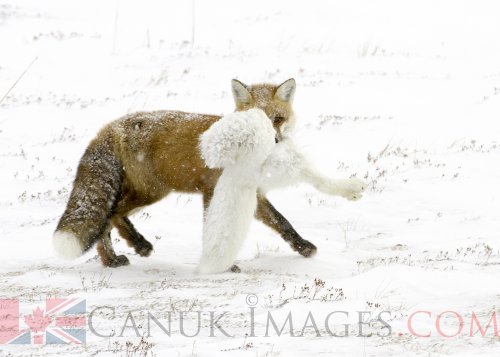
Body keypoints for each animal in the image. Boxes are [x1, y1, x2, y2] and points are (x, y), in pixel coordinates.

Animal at [54, 78, 366, 268]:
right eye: (255, 119)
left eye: (278, 119)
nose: (274, 142)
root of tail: (110, 126)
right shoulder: (214, 190)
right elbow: (216, 229)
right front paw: (223, 264)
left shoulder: (252, 193)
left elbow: (283, 223)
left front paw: (303, 248)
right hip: (153, 190)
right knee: (113, 214)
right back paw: (133, 247)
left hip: (147, 191)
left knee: (109, 219)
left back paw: (116, 257)